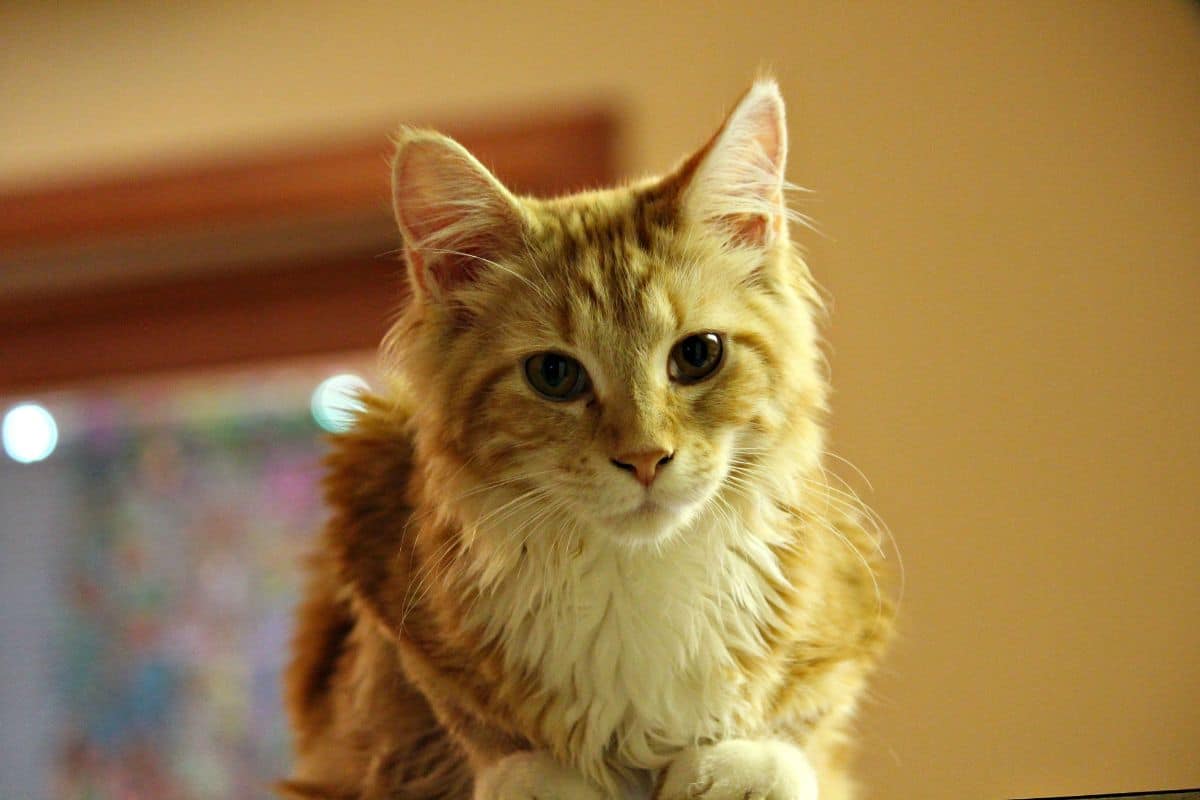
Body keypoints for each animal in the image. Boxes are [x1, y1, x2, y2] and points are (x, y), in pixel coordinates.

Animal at [280, 76, 897, 800]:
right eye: (554, 375)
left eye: (699, 355)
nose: (645, 458)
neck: (639, 578)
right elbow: (474, 737)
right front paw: (542, 777)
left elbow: (800, 738)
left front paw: (740, 766)